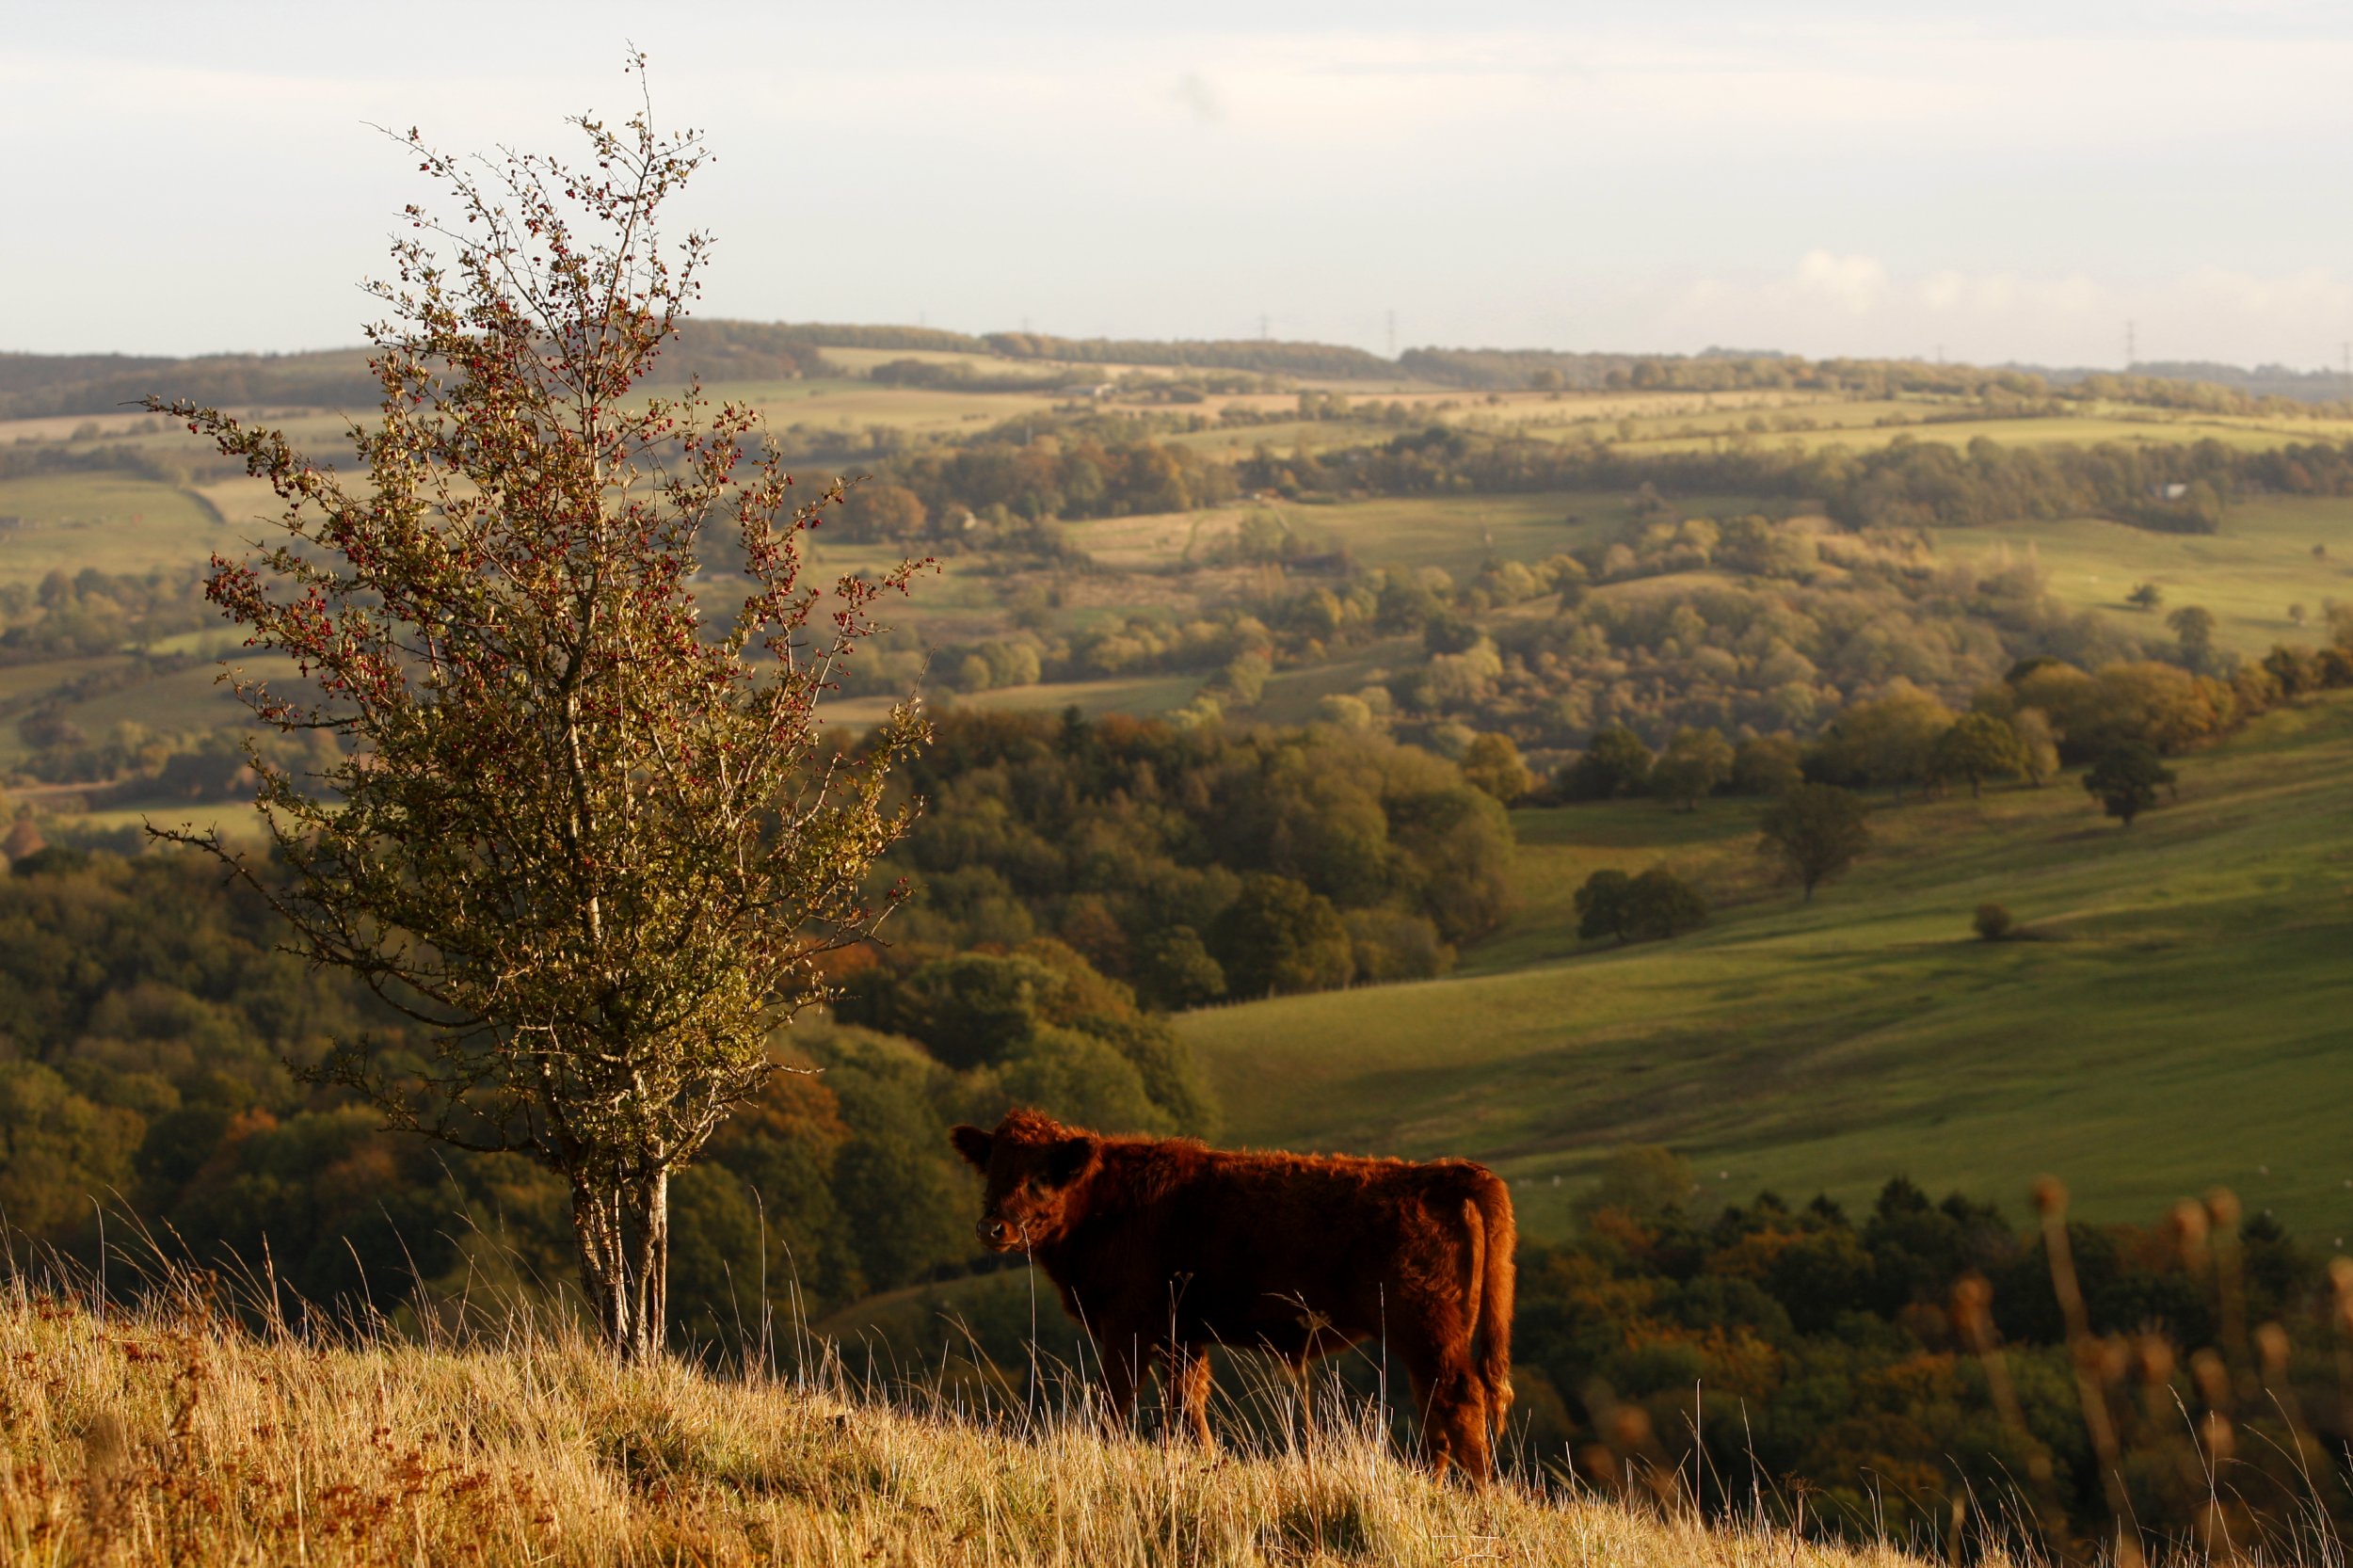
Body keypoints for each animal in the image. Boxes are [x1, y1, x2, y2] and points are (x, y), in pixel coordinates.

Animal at [946, 1106, 1515, 1468]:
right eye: (991, 1170)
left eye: (1041, 1177)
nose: (992, 1227)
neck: (1106, 1200)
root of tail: (1438, 1176)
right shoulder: (1182, 1336)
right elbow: (1187, 1409)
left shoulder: (1129, 1327)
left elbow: (1116, 1400)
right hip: (1427, 1340)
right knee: (1437, 1409)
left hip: (1425, 1331)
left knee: (1458, 1401)